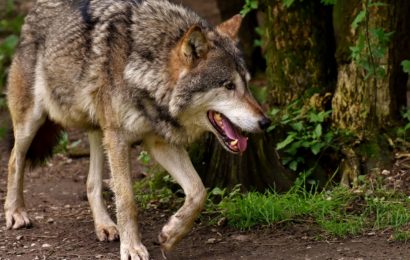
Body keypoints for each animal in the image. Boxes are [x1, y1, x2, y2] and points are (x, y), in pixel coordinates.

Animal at [5, 0, 272, 256]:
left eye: (247, 85)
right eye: (228, 86)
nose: (265, 122)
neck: (145, 70)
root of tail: (34, 9)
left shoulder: (159, 142)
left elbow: (198, 192)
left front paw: (171, 234)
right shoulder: (119, 139)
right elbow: (127, 200)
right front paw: (132, 248)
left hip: (99, 131)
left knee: (91, 183)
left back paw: (104, 226)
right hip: (32, 122)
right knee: (14, 160)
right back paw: (15, 212)